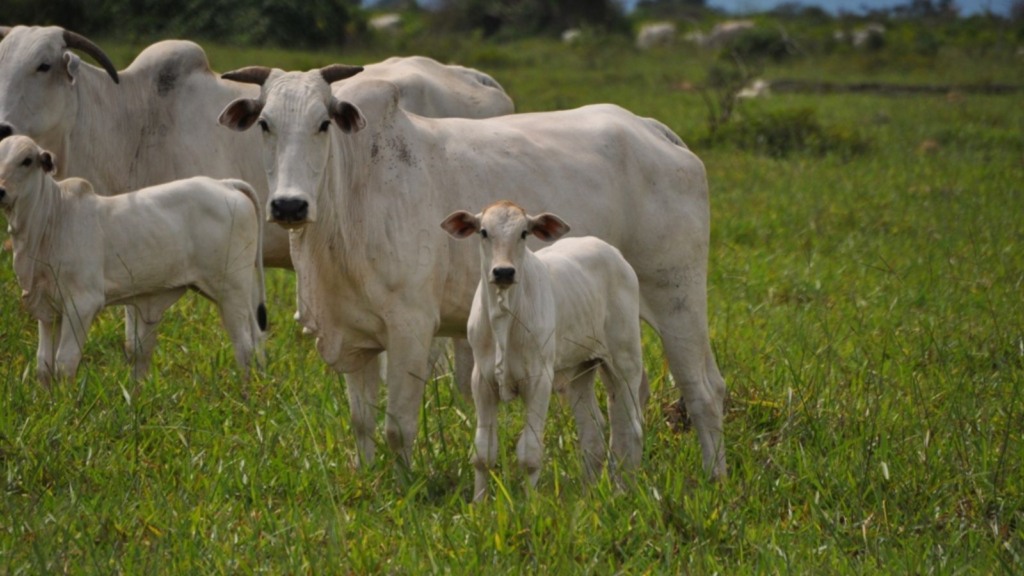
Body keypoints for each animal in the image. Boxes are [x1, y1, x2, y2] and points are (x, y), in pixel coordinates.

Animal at [0, 135, 268, 383]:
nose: (0, 190)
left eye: (26, 160)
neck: (52, 218)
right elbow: (44, 366)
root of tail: (225, 184)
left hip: (231, 289)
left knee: (244, 348)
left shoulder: (82, 303)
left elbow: (65, 363)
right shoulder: (47, 309)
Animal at [442, 200, 647, 498]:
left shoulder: (539, 380)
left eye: (524, 233)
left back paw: (623, 492)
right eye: (483, 232)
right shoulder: (482, 380)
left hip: (626, 360)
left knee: (631, 430)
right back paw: (587, 496)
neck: (505, 317)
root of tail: (613, 253)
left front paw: (531, 503)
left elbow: (529, 453)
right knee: (593, 434)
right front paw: (479, 503)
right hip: (581, 368)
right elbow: (483, 454)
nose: (504, 272)